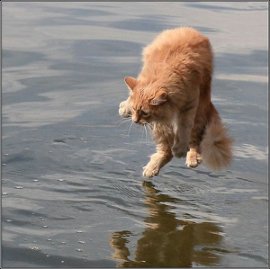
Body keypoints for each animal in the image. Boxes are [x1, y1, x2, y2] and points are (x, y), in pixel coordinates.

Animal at [118, 27, 232, 177]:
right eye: (135, 110)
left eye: (145, 113)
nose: (135, 121)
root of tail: (189, 29)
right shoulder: (160, 119)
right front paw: (126, 108)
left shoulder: (189, 106)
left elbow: (184, 128)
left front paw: (180, 148)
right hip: (162, 126)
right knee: (166, 152)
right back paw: (152, 168)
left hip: (199, 111)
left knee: (194, 142)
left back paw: (190, 157)